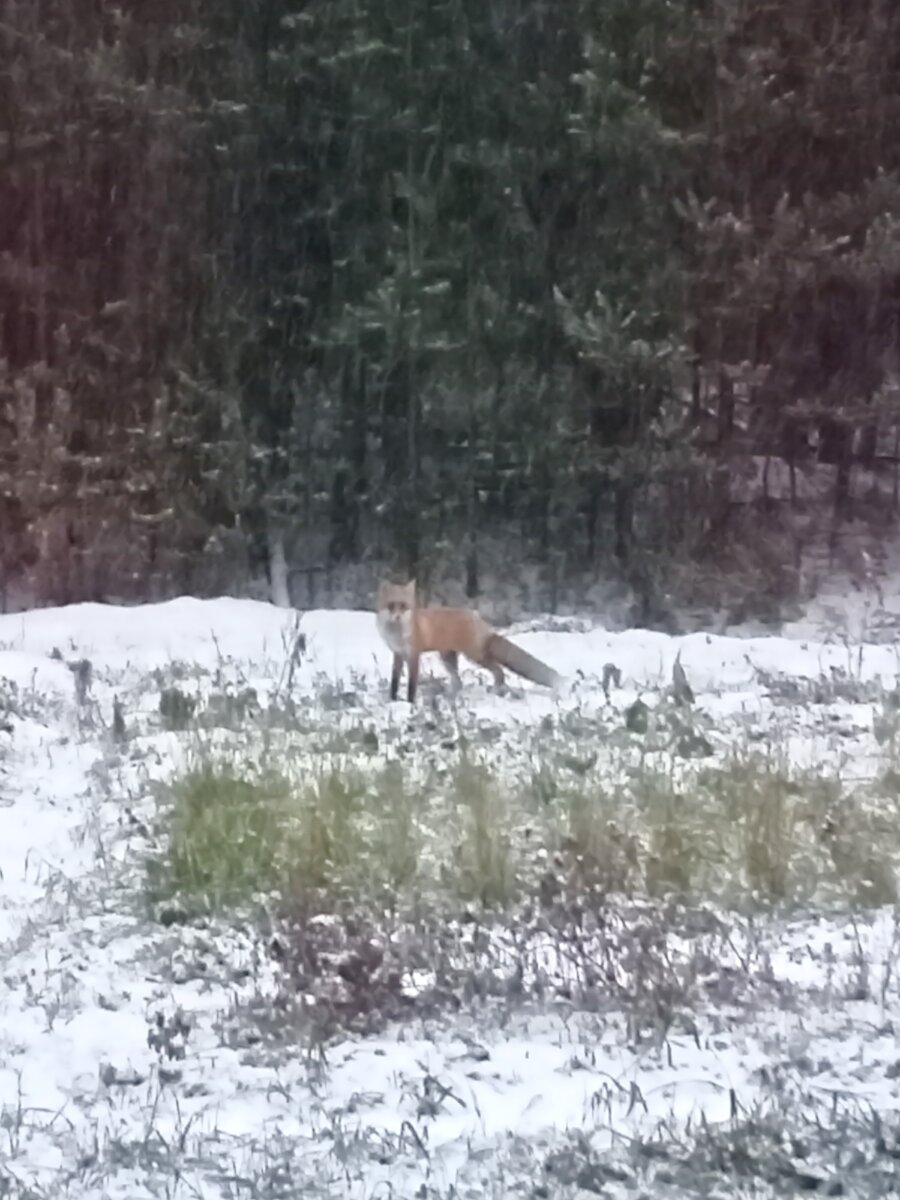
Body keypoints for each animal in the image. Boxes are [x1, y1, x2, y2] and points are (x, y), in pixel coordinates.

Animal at [374, 580, 561, 700]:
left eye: (404, 606)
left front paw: (410, 703)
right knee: (459, 683)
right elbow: (394, 682)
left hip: (475, 655)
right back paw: (450, 697)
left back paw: (495, 691)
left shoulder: (413, 656)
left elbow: (412, 686)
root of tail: (477, 617)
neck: (397, 634)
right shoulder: (398, 655)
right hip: (448, 659)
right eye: (391, 606)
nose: (397, 617)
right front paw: (392, 700)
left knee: (498, 670)